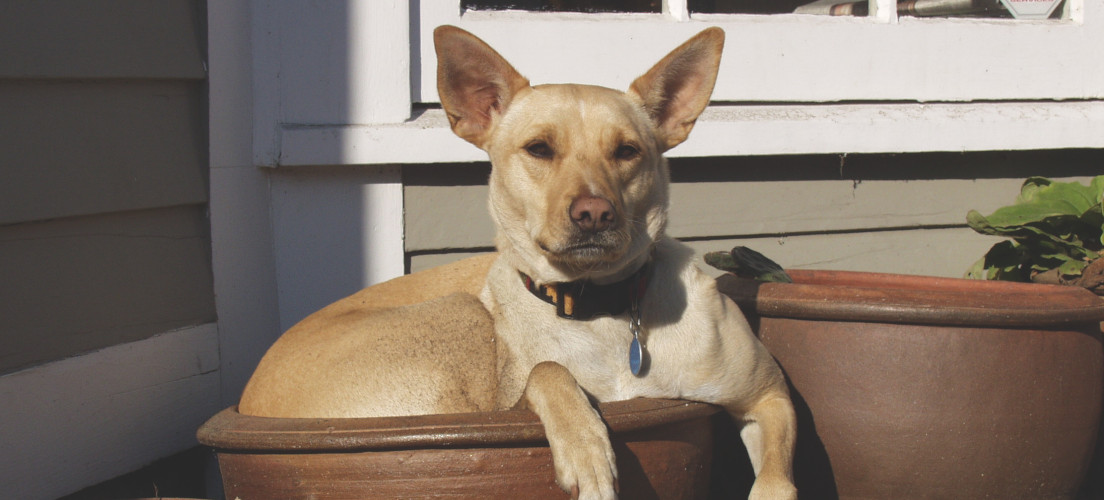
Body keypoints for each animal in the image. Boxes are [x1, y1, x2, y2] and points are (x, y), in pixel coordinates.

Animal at [239, 26, 794, 498]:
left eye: (627, 151)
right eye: (539, 149)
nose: (595, 213)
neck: (600, 308)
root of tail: (244, 405)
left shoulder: (769, 396)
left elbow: (777, 479)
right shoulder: (511, 401)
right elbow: (545, 370)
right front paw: (586, 450)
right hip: (461, 315)